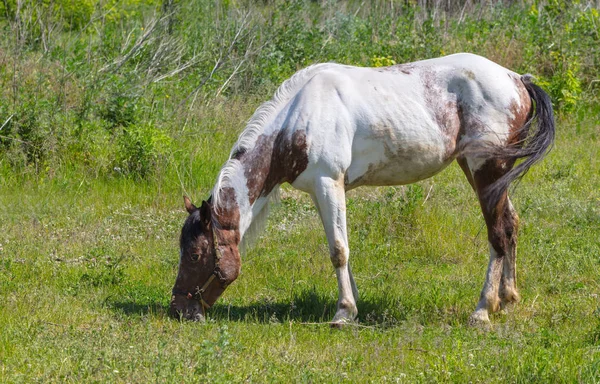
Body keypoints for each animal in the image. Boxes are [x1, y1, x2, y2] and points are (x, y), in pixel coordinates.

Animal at [169, 52, 552, 326]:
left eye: (196, 254)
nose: (178, 310)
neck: (297, 120)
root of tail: (517, 79)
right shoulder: (324, 191)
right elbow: (341, 247)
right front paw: (352, 307)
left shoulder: (328, 183)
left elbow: (338, 250)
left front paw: (342, 314)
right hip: (487, 175)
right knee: (511, 224)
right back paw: (508, 299)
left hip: (486, 169)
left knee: (497, 233)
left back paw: (483, 310)